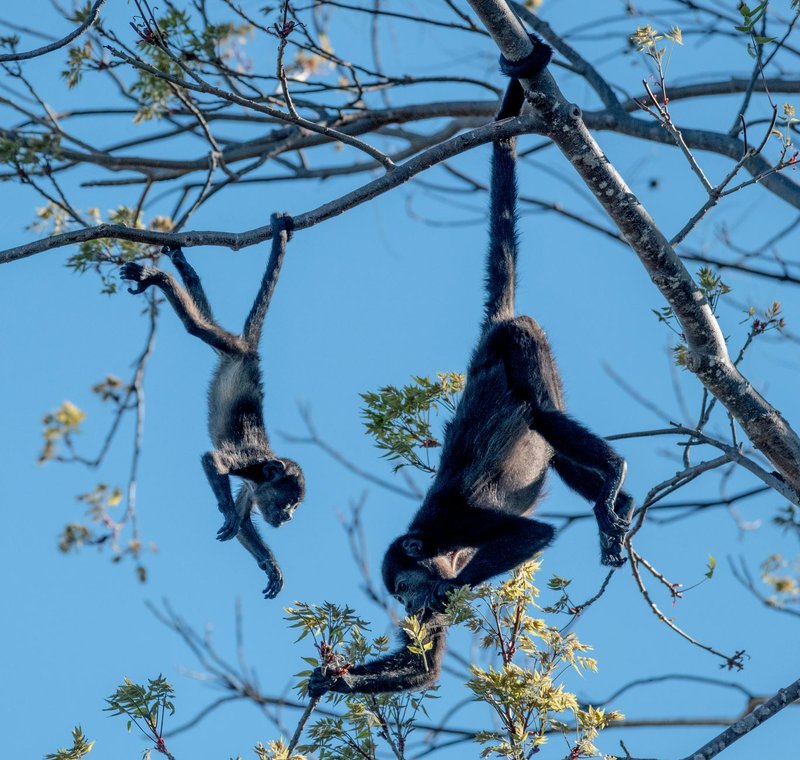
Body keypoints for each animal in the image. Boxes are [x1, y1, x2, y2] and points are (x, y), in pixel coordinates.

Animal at [119, 213, 305, 599]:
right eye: (289, 503)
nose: (290, 517)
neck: (266, 468)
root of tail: (249, 351)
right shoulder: (251, 467)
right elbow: (212, 461)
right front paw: (228, 515)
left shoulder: (252, 487)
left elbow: (247, 520)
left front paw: (271, 564)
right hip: (231, 347)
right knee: (196, 325)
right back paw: (158, 278)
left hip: (228, 348)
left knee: (202, 313)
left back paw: (182, 266)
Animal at [308, 37, 633, 696]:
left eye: (403, 587)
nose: (409, 606)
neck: (432, 543)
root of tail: (496, 323)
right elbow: (424, 669)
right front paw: (333, 681)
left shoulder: (454, 524)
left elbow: (533, 535)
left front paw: (452, 589)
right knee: (556, 445)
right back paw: (618, 504)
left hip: (524, 339)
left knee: (543, 412)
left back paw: (613, 478)